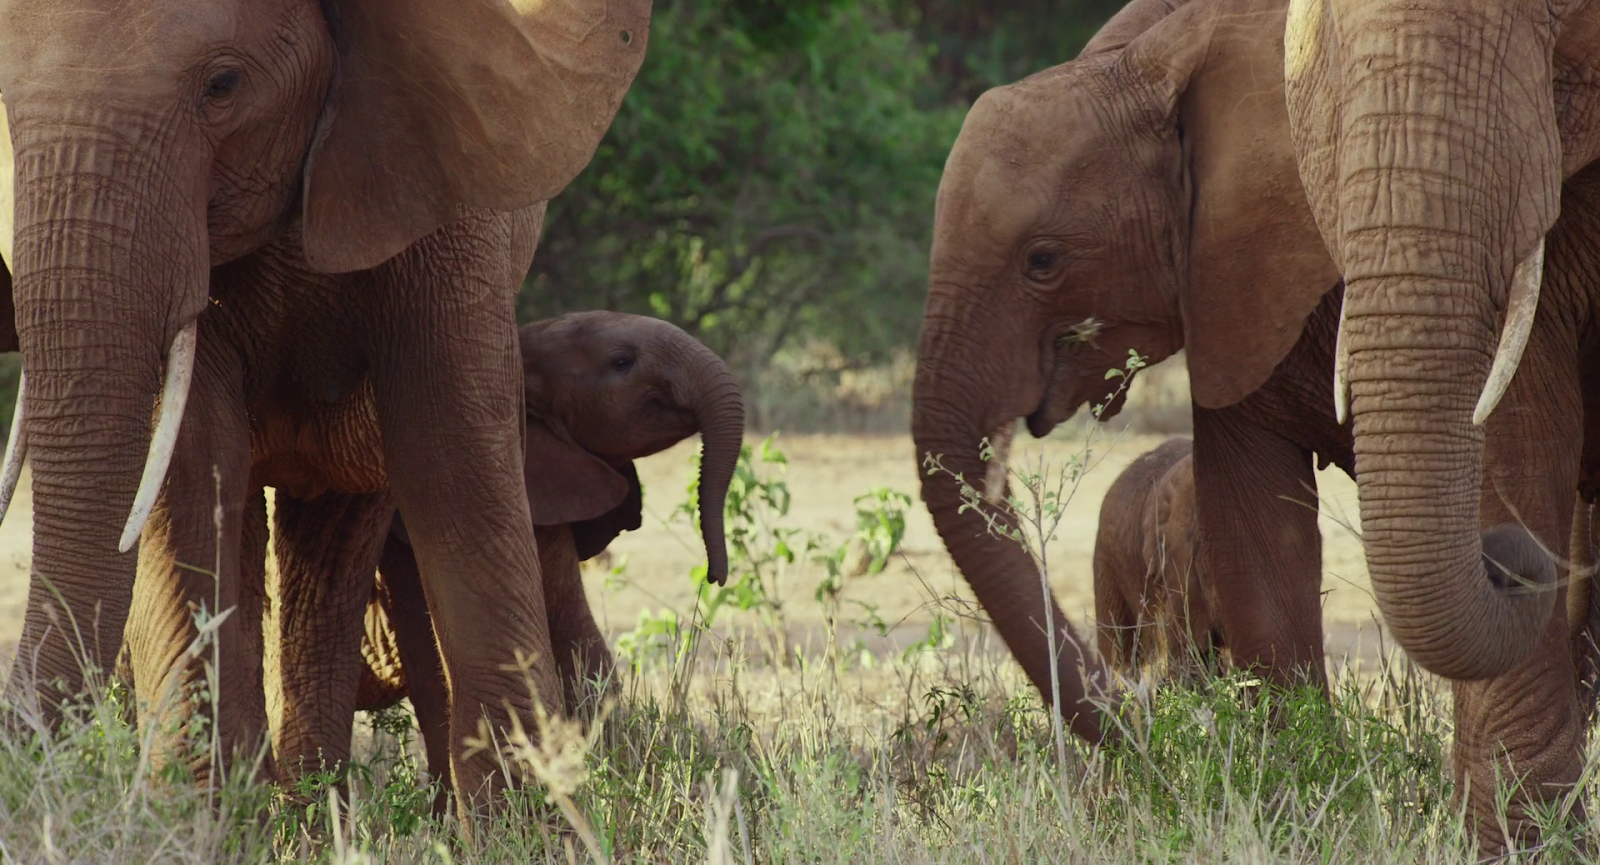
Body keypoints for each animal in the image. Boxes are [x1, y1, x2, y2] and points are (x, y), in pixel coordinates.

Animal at [0, 0, 656, 812]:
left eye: (223, 85)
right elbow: (189, 466)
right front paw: (196, 821)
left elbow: (453, 452)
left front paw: (526, 824)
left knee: (336, 539)